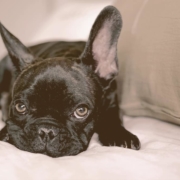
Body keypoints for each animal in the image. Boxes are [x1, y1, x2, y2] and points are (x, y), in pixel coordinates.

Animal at [0, 5, 140, 158]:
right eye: (20, 107)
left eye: (81, 111)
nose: (46, 131)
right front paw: (6, 132)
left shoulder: (112, 100)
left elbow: (111, 117)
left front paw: (119, 135)